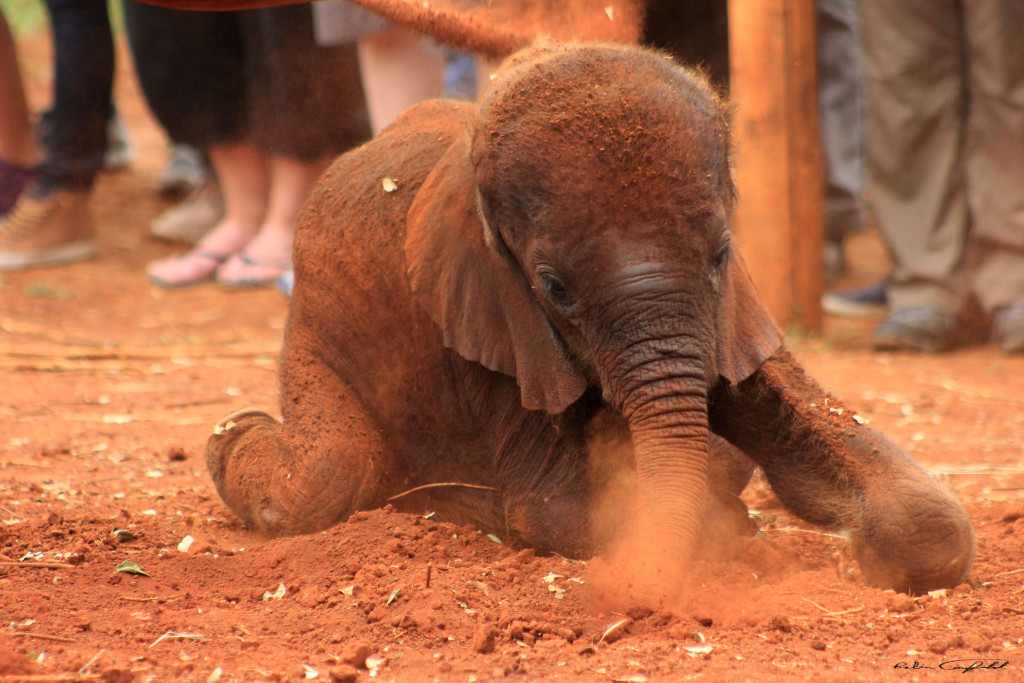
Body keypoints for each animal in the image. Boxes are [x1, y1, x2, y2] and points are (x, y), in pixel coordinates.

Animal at [203, 42, 970, 610]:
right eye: (554, 289)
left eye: (722, 254)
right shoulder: (491, 320)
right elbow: (552, 504)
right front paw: (735, 533)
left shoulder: (733, 312)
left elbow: (927, 517)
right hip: (311, 331)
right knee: (323, 476)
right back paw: (233, 432)